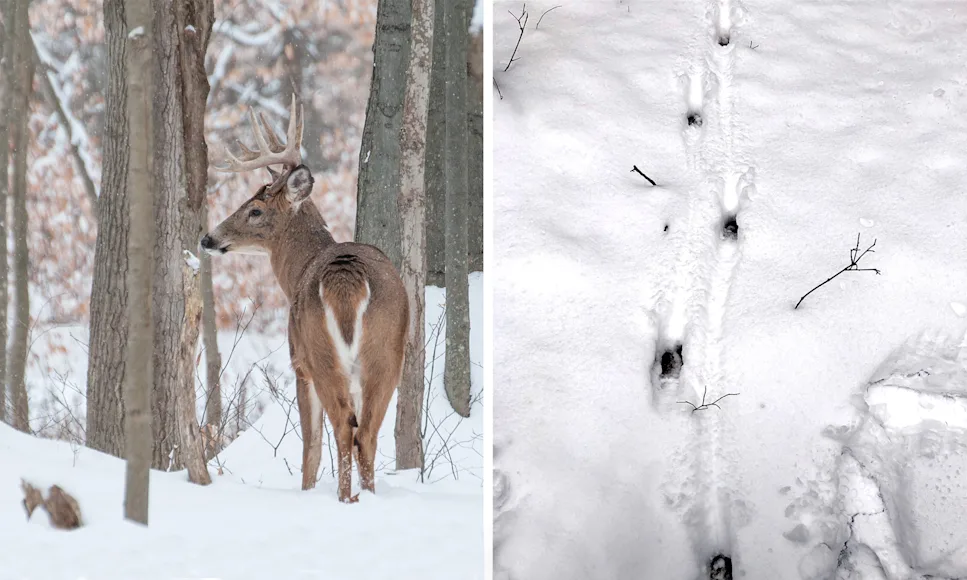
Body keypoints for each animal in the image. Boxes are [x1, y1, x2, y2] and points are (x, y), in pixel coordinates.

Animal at [201, 96, 409, 503]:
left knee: (343, 428)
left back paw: (345, 499)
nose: (208, 238)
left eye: (255, 210)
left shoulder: (298, 362)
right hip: (387, 352)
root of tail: (346, 277)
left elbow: (310, 445)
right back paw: (365, 496)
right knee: (367, 433)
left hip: (320, 353)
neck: (299, 270)